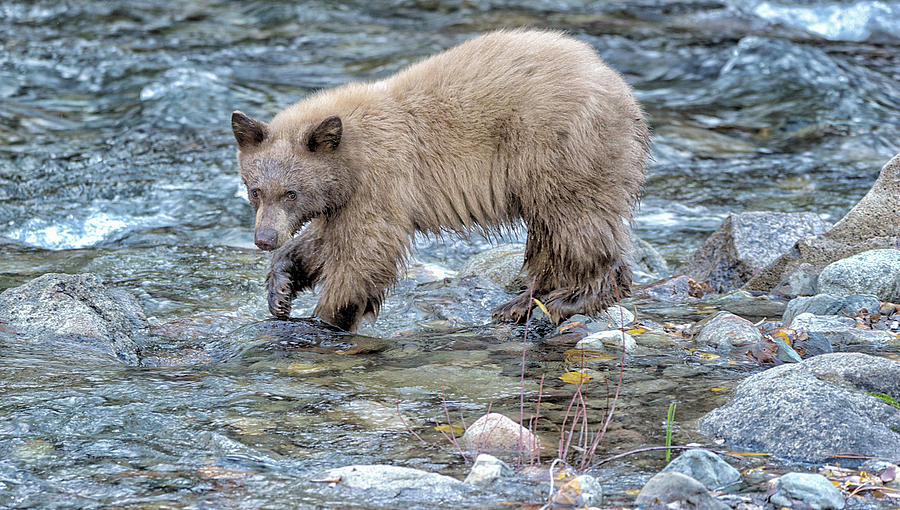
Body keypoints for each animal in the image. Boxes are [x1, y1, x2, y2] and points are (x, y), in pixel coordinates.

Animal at [232, 28, 652, 330]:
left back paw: (563, 299)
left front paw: (326, 319)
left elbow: (364, 251)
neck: (351, 156)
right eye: (255, 191)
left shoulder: (382, 178)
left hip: (562, 153)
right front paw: (280, 291)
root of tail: (621, 89)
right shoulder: (345, 198)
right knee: (550, 235)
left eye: (291, 193)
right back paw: (524, 301)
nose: (264, 239)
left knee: (577, 226)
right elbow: (325, 242)